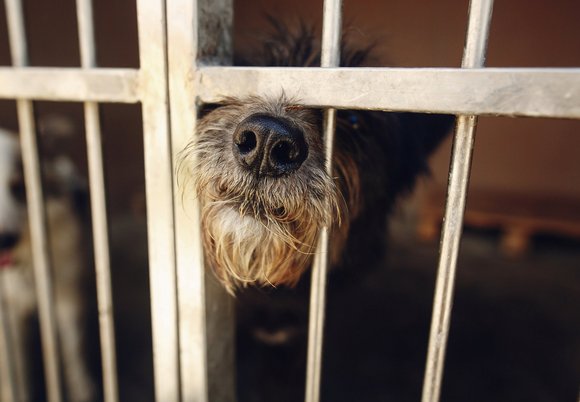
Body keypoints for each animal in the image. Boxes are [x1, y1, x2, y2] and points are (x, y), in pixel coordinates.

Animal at [0, 128, 96, 402]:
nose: (3, 241)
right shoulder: (8, 311)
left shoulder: (66, 295)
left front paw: (82, 389)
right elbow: (15, 366)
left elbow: (73, 349)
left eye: (18, 188)